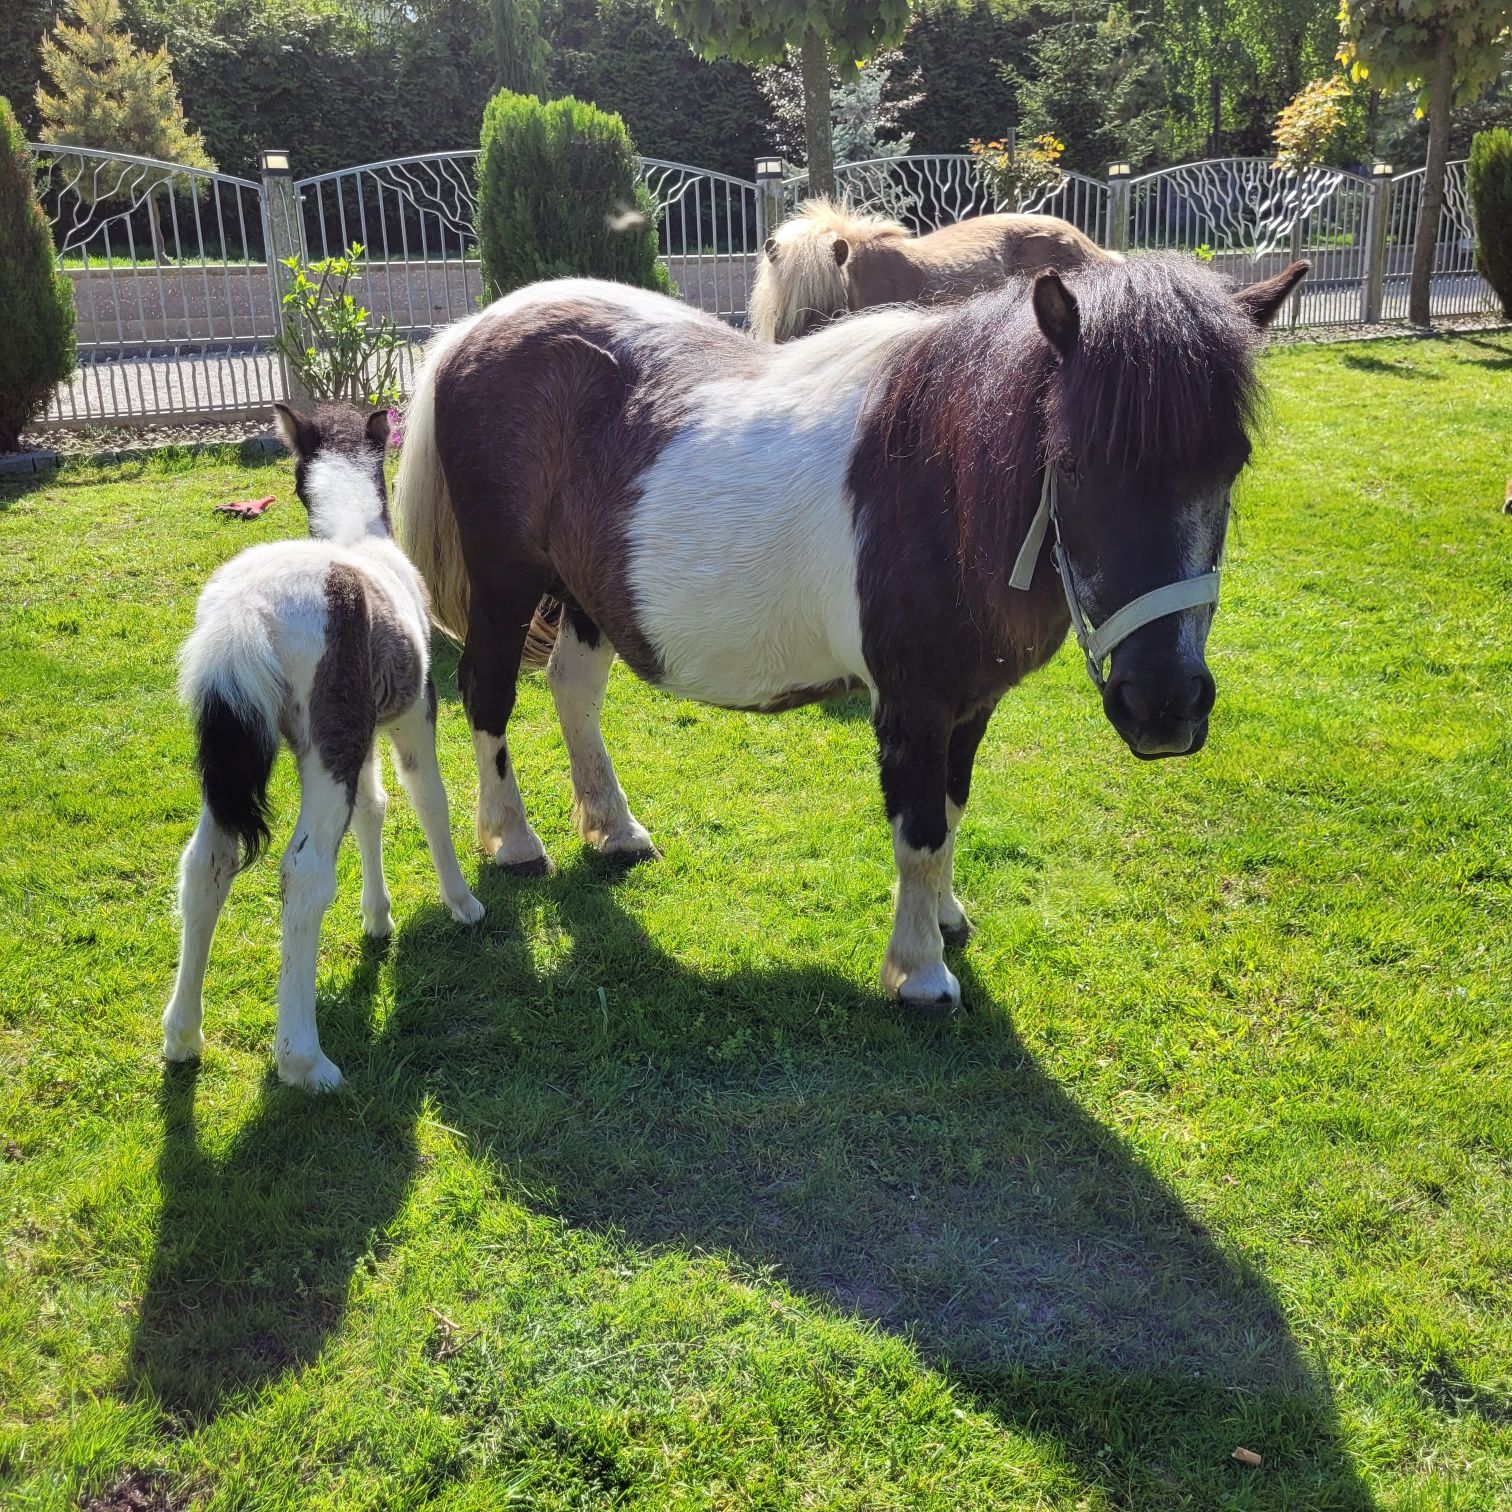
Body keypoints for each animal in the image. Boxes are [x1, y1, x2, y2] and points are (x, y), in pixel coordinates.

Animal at [160, 402, 480, 1088]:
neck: (357, 538)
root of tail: (247, 615)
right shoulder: (413, 713)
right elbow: (428, 799)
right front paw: (462, 902)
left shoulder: (359, 739)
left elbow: (373, 808)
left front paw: (378, 919)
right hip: (326, 748)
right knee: (303, 873)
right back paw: (304, 1061)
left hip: (236, 758)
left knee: (206, 864)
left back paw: (182, 1035)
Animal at [396, 257, 1306, 1016]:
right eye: (1075, 462)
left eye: (1232, 463)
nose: (1165, 707)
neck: (947, 487)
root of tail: (472, 332)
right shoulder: (914, 704)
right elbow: (920, 828)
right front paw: (920, 972)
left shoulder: (970, 704)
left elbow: (951, 807)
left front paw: (946, 919)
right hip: (507, 587)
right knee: (488, 695)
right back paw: (514, 842)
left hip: (587, 592)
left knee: (574, 692)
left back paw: (614, 831)